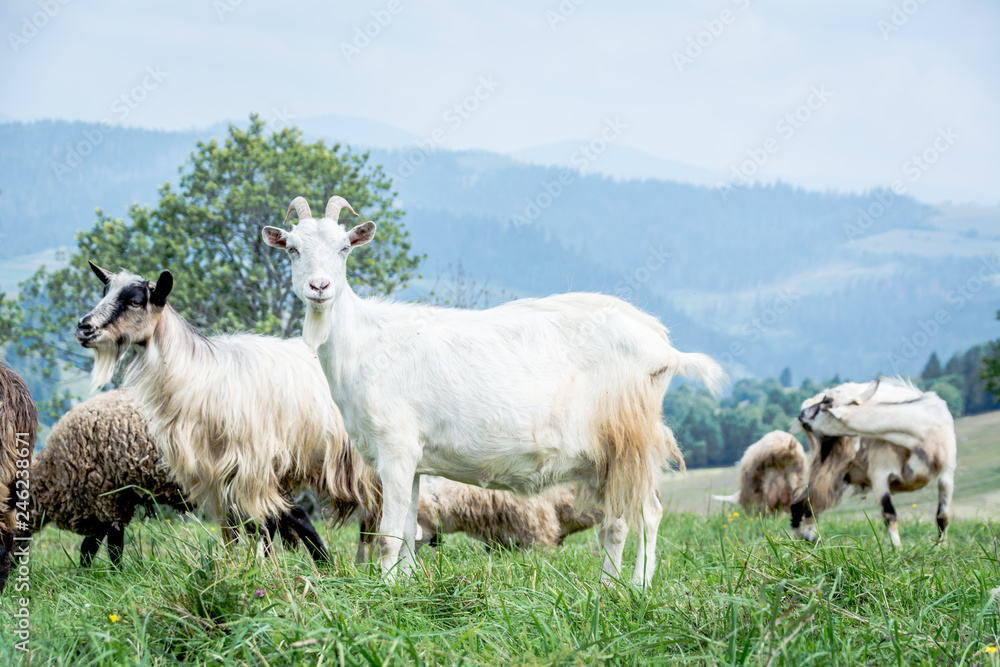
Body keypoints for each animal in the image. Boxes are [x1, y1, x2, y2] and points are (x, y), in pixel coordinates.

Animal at [75, 262, 382, 552]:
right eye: (105, 292)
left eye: (136, 301)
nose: (83, 327)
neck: (199, 374)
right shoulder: (216, 475)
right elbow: (232, 532)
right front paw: (235, 566)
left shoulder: (253, 466)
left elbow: (263, 525)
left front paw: (260, 568)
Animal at [262, 193, 724, 584]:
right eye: (293, 249)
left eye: (344, 248)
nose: (319, 287)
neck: (364, 341)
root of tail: (661, 344)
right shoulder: (415, 462)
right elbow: (409, 530)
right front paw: (407, 589)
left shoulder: (395, 450)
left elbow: (390, 535)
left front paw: (386, 593)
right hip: (610, 452)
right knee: (618, 519)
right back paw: (608, 586)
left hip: (632, 439)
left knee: (645, 513)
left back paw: (634, 587)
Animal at [792, 378, 956, 552]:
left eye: (825, 402)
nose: (802, 414)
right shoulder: (879, 474)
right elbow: (890, 515)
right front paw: (898, 549)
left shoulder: (947, 473)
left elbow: (942, 516)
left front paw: (942, 548)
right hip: (826, 466)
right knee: (805, 502)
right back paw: (803, 540)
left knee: (805, 503)